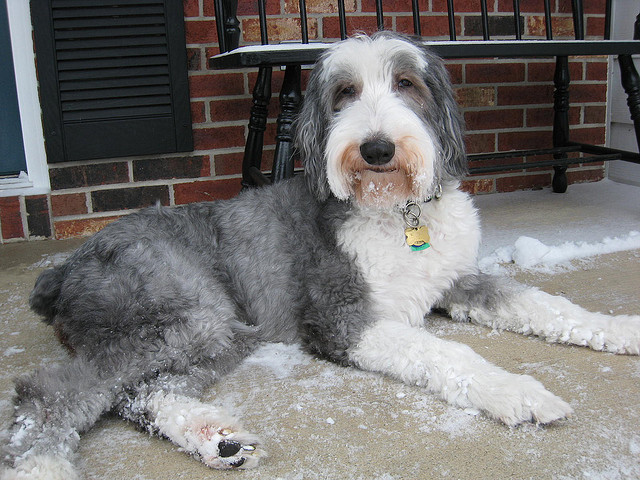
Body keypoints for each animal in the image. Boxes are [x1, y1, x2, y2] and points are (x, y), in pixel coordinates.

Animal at [3, 31, 640, 478]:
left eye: (406, 83)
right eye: (344, 93)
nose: (377, 148)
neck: (397, 211)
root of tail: (65, 268)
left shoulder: (458, 279)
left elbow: (543, 304)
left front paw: (622, 329)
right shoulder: (341, 318)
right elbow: (448, 353)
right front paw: (518, 393)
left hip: (216, 334)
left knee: (139, 394)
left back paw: (217, 440)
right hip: (180, 316)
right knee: (56, 391)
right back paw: (41, 464)